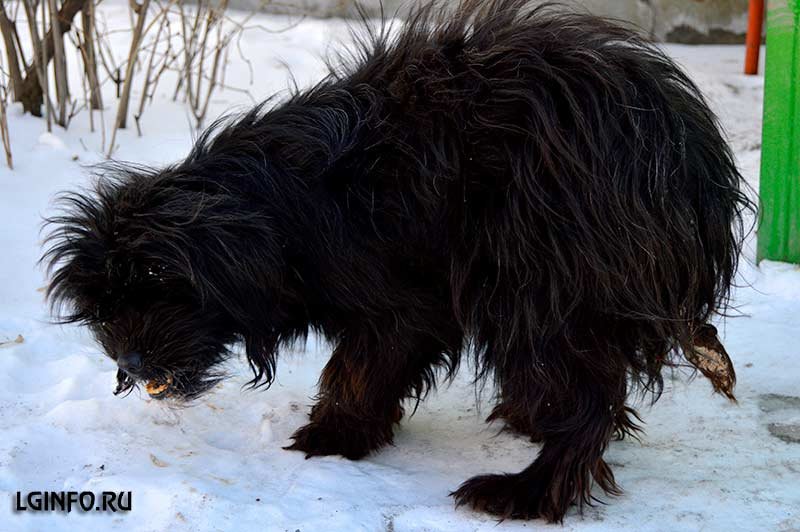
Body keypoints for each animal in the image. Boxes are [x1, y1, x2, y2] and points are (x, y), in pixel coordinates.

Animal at [45, 0, 752, 524]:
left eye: (160, 286)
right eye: (104, 307)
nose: (131, 364)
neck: (278, 211)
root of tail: (690, 159)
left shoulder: (400, 301)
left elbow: (362, 367)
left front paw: (334, 435)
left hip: (539, 277)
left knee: (591, 396)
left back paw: (528, 489)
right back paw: (532, 418)